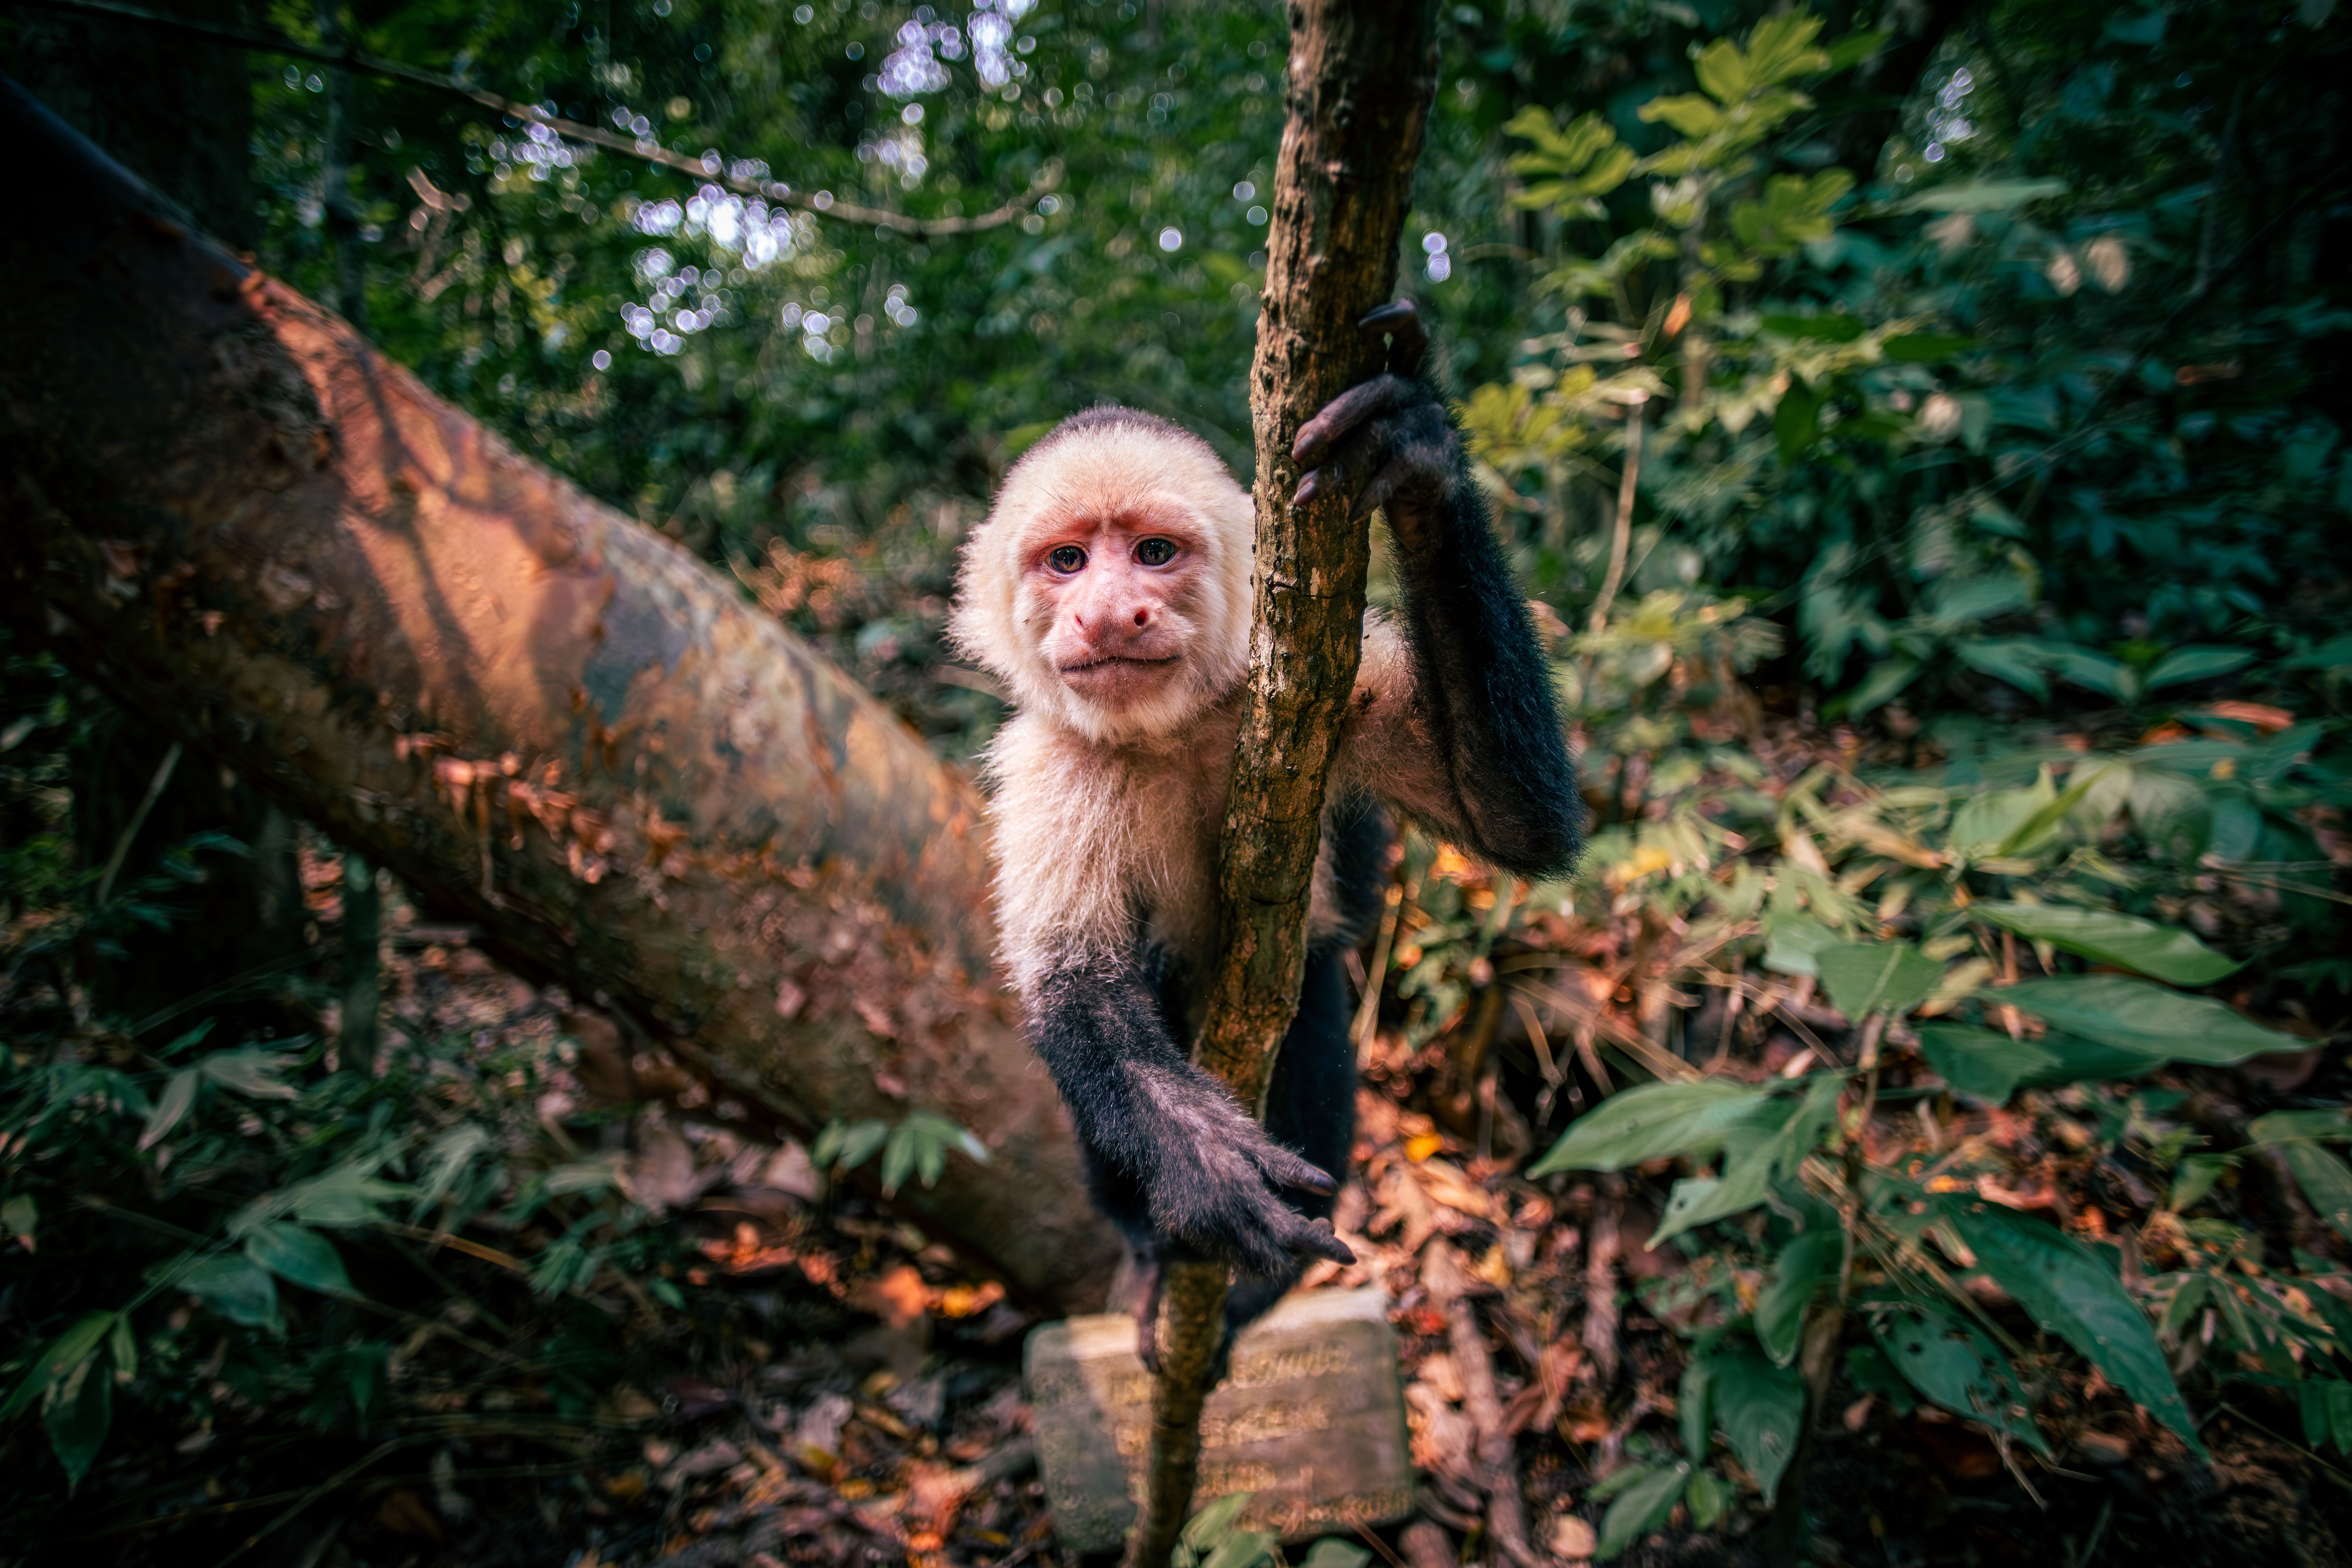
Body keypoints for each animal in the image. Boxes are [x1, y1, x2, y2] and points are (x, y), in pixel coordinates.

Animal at [949, 301, 1582, 1364]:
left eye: (1154, 554)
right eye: (1067, 561)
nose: (1108, 613)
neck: (1175, 732)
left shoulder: (1341, 684)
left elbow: (1517, 818)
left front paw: (1415, 458)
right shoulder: (1049, 765)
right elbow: (1077, 992)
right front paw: (1207, 1166)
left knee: (1318, 996)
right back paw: (1153, 1252)